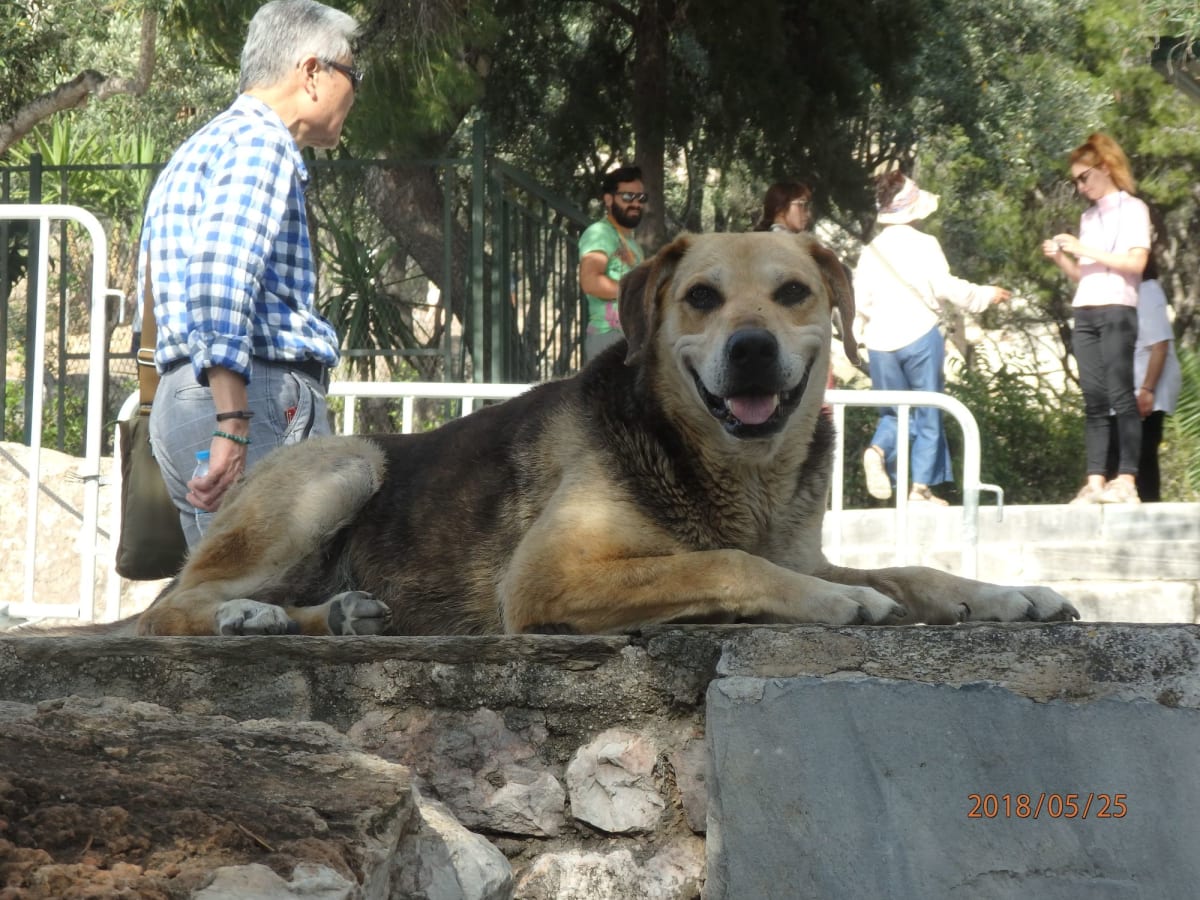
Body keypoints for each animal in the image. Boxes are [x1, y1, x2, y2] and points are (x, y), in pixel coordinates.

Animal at [131, 234, 1080, 643]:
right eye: (700, 298)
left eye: (793, 294)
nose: (751, 348)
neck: (733, 472)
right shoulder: (547, 577)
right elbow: (724, 564)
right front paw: (832, 603)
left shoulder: (800, 546)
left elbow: (910, 569)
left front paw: (1003, 595)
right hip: (348, 461)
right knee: (165, 608)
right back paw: (248, 613)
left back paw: (334, 610)